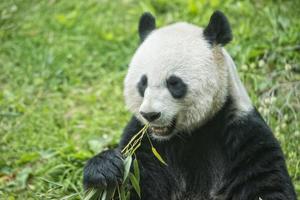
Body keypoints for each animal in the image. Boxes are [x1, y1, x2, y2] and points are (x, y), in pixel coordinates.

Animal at [83, 11, 296, 200]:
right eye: (143, 83)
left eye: (174, 83)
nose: (150, 114)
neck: (187, 136)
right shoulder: (145, 144)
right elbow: (131, 186)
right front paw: (106, 168)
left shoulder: (242, 134)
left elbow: (266, 186)